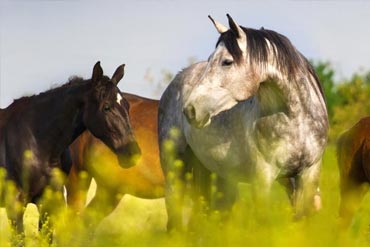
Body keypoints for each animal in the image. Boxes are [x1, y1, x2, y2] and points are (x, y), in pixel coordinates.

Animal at [158, 14, 328, 231]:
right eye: (211, 60)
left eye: (227, 62)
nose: (190, 110)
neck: (295, 121)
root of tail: (177, 79)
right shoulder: (262, 179)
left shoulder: (308, 174)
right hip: (175, 170)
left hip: (218, 176)